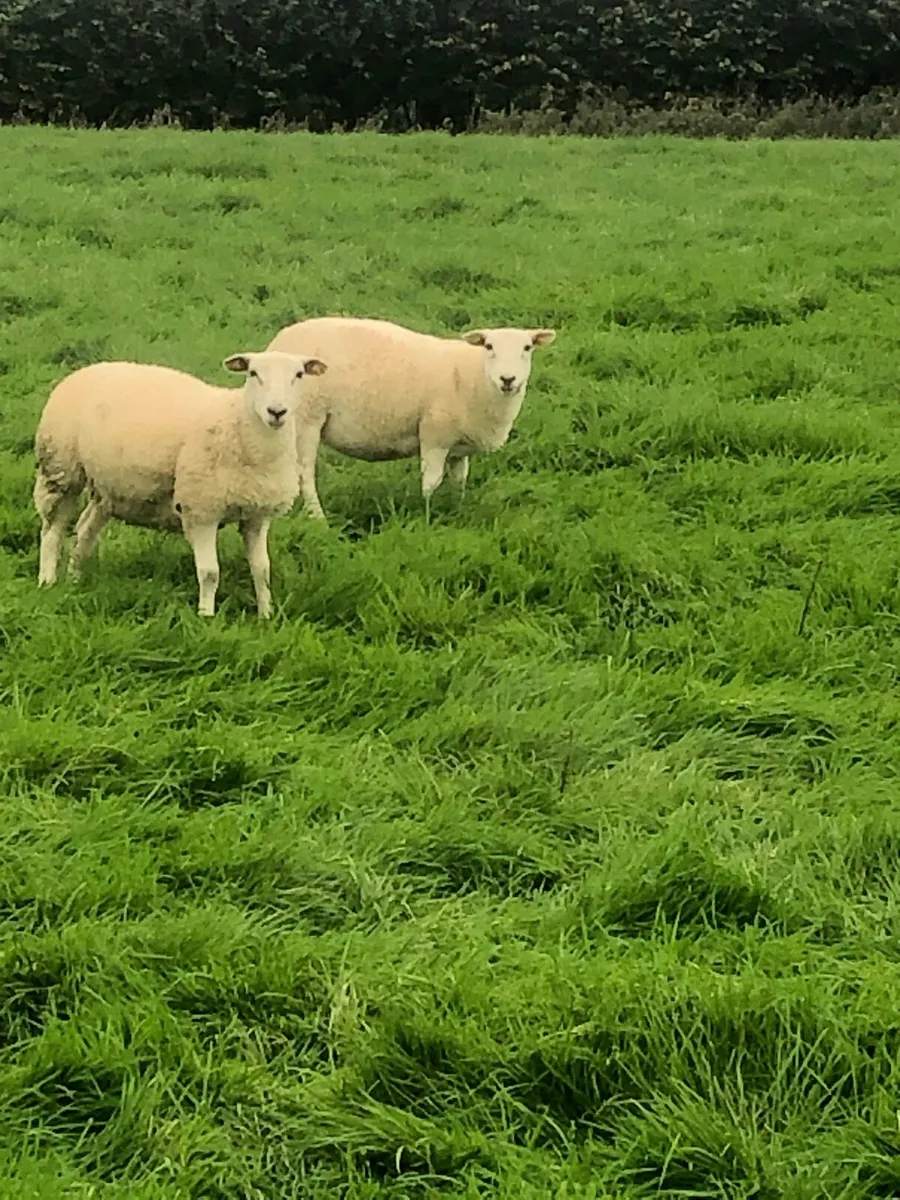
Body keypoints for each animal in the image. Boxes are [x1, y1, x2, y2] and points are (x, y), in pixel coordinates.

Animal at [33, 350, 327, 618]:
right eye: (253, 373)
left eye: (299, 375)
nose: (276, 412)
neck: (239, 424)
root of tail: (86, 370)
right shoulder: (202, 510)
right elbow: (209, 573)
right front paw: (206, 617)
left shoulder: (257, 515)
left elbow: (262, 570)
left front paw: (267, 616)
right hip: (60, 469)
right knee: (52, 532)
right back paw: (47, 582)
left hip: (109, 488)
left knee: (84, 529)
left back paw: (74, 579)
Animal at [265, 317, 556, 523]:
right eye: (489, 346)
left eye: (527, 347)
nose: (508, 379)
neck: (475, 376)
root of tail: (276, 345)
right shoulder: (434, 435)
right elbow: (431, 482)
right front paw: (426, 515)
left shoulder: (459, 447)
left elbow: (459, 480)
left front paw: (457, 508)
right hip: (306, 419)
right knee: (304, 474)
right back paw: (318, 518)